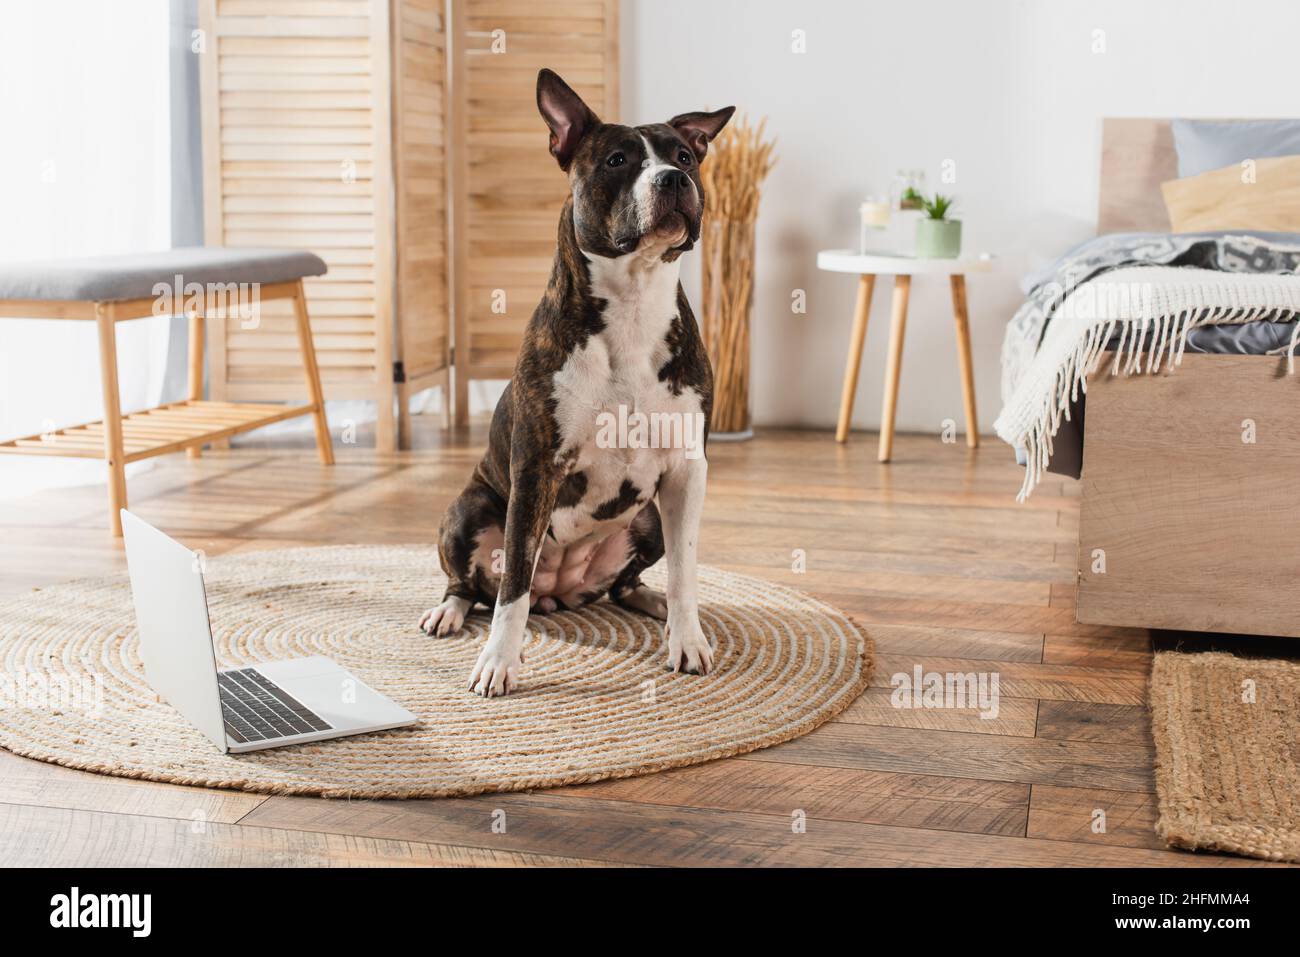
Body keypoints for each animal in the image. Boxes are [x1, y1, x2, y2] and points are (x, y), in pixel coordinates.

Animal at [421, 67, 738, 696]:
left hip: (648, 522)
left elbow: (688, 568)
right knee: (478, 585)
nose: (672, 179)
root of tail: (561, 594)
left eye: (685, 157)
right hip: (469, 510)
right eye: (617, 159)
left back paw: (654, 604)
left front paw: (687, 638)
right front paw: (498, 662)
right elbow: (511, 588)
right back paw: (448, 611)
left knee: (622, 582)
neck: (635, 304)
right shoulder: (536, 469)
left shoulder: (687, 470)